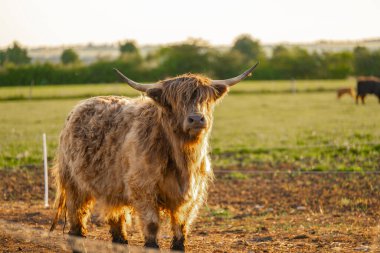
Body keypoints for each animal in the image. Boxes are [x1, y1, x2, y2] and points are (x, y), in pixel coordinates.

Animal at [50, 62, 258, 250]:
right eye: (174, 102)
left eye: (206, 99)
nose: (197, 119)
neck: (183, 158)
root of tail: (81, 106)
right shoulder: (142, 188)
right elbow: (151, 225)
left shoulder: (192, 195)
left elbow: (181, 228)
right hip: (75, 185)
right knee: (77, 224)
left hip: (112, 190)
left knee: (117, 227)